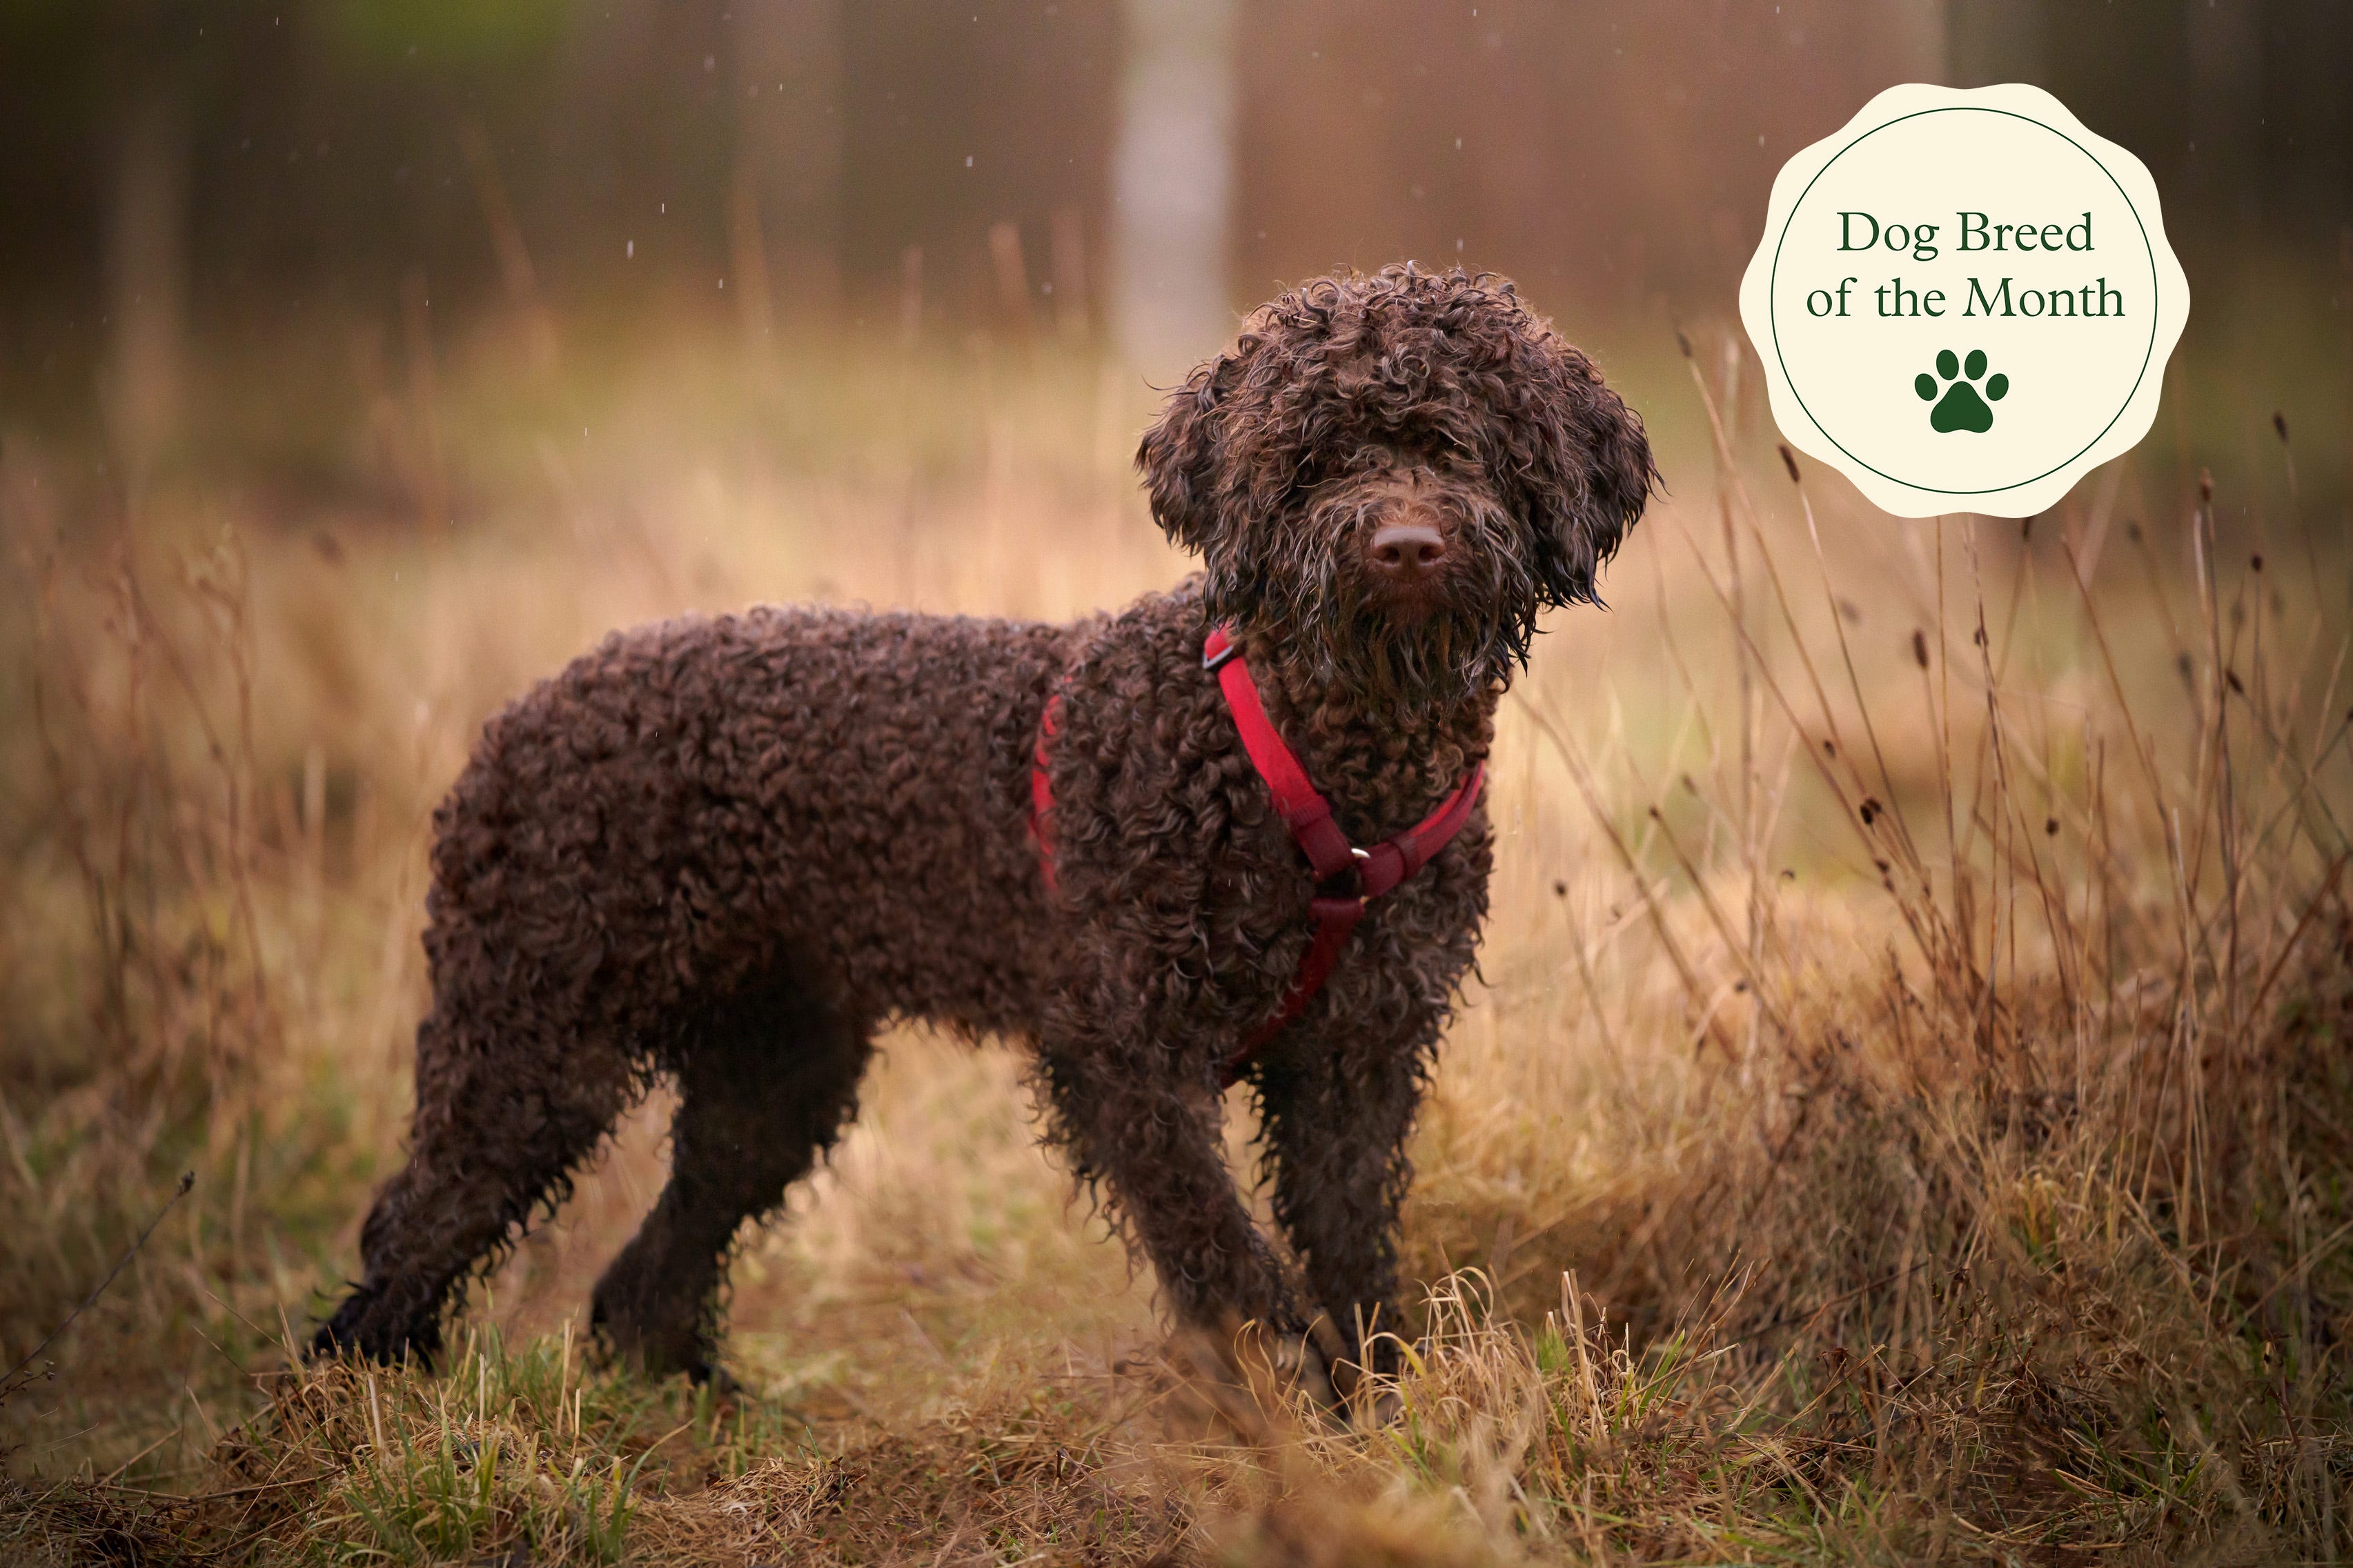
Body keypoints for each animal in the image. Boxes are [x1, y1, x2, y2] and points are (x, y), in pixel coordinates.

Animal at [317, 263, 1656, 1391]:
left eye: (1464, 444)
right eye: (1313, 457)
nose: (1405, 545)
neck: (1312, 769)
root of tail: (512, 723)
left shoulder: (1357, 1061)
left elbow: (1349, 1249)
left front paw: (1382, 1402)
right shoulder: (1126, 1059)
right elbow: (1227, 1259)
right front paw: (1288, 1400)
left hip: (774, 1065)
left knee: (648, 1269)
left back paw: (691, 1398)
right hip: (539, 1034)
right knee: (417, 1226)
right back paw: (370, 1402)